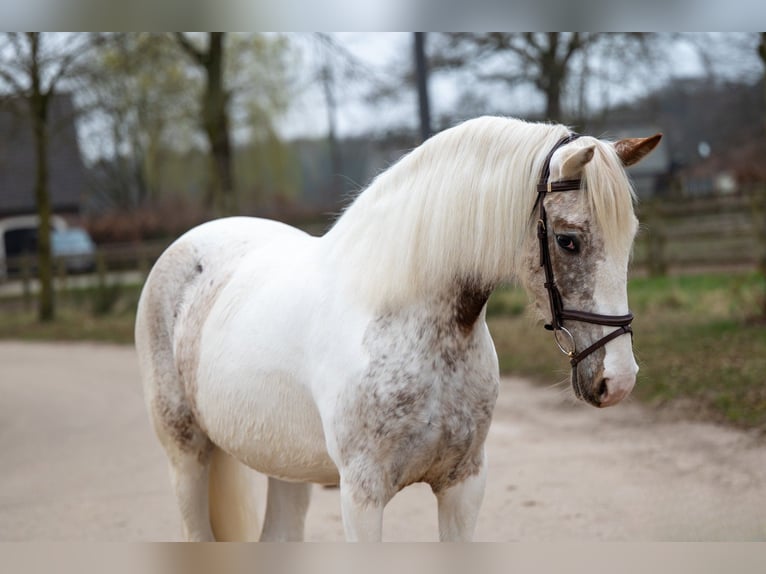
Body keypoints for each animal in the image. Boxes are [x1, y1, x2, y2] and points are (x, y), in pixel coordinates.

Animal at [132, 115, 660, 544]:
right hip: (186, 454)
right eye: (568, 241)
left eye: (630, 237)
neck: (406, 318)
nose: (618, 380)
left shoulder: (464, 484)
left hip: (282, 464)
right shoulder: (361, 494)